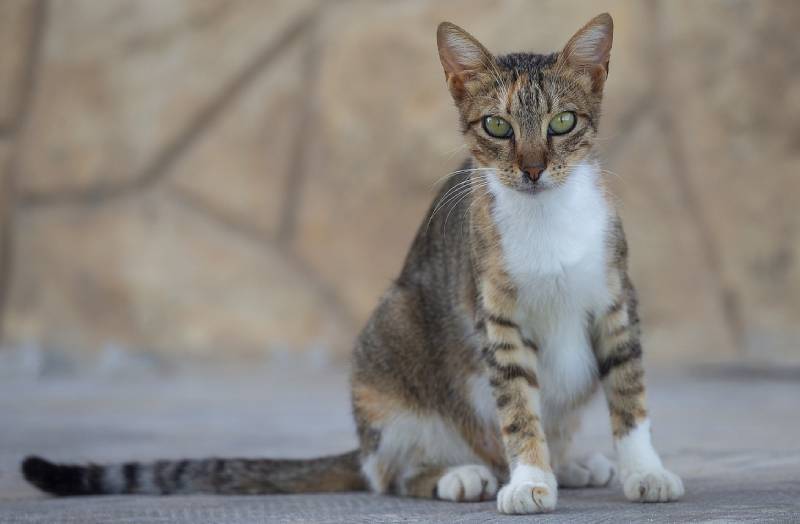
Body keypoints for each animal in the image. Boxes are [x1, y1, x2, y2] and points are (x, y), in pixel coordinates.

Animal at [23, 13, 680, 516]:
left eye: (561, 122)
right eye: (497, 126)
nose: (533, 168)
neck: (547, 223)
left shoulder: (616, 297)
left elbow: (629, 390)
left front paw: (643, 470)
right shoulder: (496, 315)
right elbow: (517, 405)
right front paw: (530, 481)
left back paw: (570, 463)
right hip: (393, 328)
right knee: (386, 473)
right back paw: (461, 474)